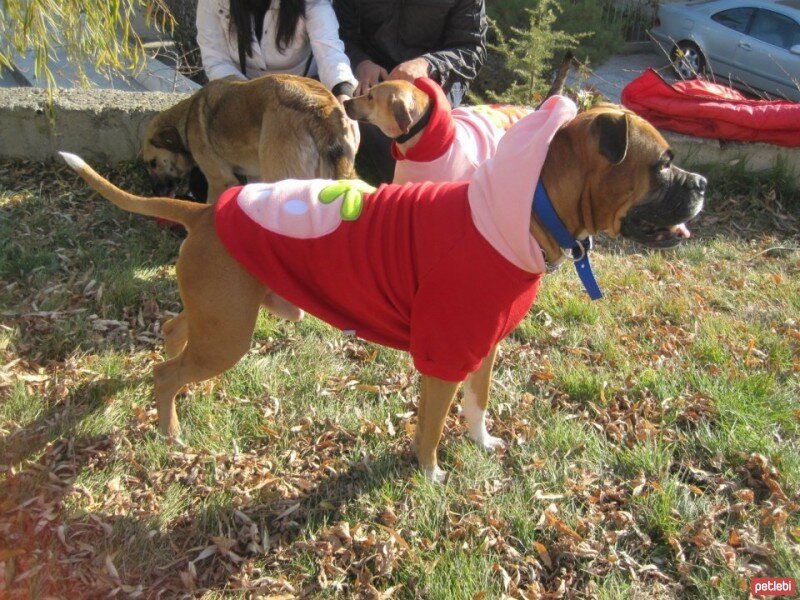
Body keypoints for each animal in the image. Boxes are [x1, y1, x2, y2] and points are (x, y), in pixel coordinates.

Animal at [59, 98, 704, 482]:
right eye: (662, 165)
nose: (699, 183)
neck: (525, 209)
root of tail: (202, 210)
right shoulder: (443, 357)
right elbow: (431, 427)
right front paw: (432, 475)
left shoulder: (483, 348)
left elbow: (477, 405)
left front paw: (482, 442)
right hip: (227, 336)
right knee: (167, 374)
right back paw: (169, 430)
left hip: (216, 317)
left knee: (173, 331)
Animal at [143, 73, 356, 202]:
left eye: (153, 163)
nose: (154, 193)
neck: (186, 118)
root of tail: (320, 110)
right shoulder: (255, 177)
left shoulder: (219, 181)